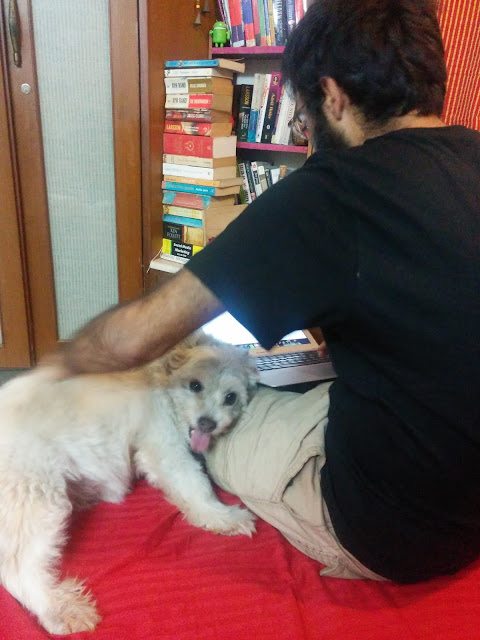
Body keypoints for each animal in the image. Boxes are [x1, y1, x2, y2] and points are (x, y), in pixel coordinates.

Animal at [0, 332, 259, 634]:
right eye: (195, 385)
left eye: (231, 397)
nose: (207, 423)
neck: (164, 383)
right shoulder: (165, 449)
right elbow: (196, 485)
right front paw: (224, 516)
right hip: (37, 498)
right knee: (18, 569)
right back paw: (60, 611)